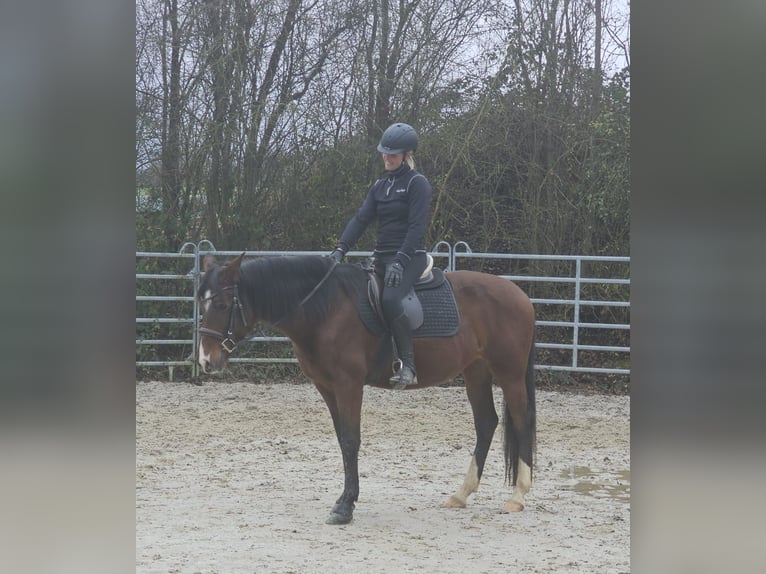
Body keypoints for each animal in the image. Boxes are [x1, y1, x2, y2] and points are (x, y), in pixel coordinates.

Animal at [195, 253, 536, 528]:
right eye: (201, 303)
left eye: (222, 305)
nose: (206, 361)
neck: (325, 309)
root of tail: (520, 294)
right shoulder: (326, 386)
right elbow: (342, 439)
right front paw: (345, 500)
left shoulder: (349, 384)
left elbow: (350, 440)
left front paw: (345, 506)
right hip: (476, 371)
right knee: (486, 423)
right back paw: (461, 494)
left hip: (509, 373)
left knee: (521, 422)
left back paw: (517, 496)